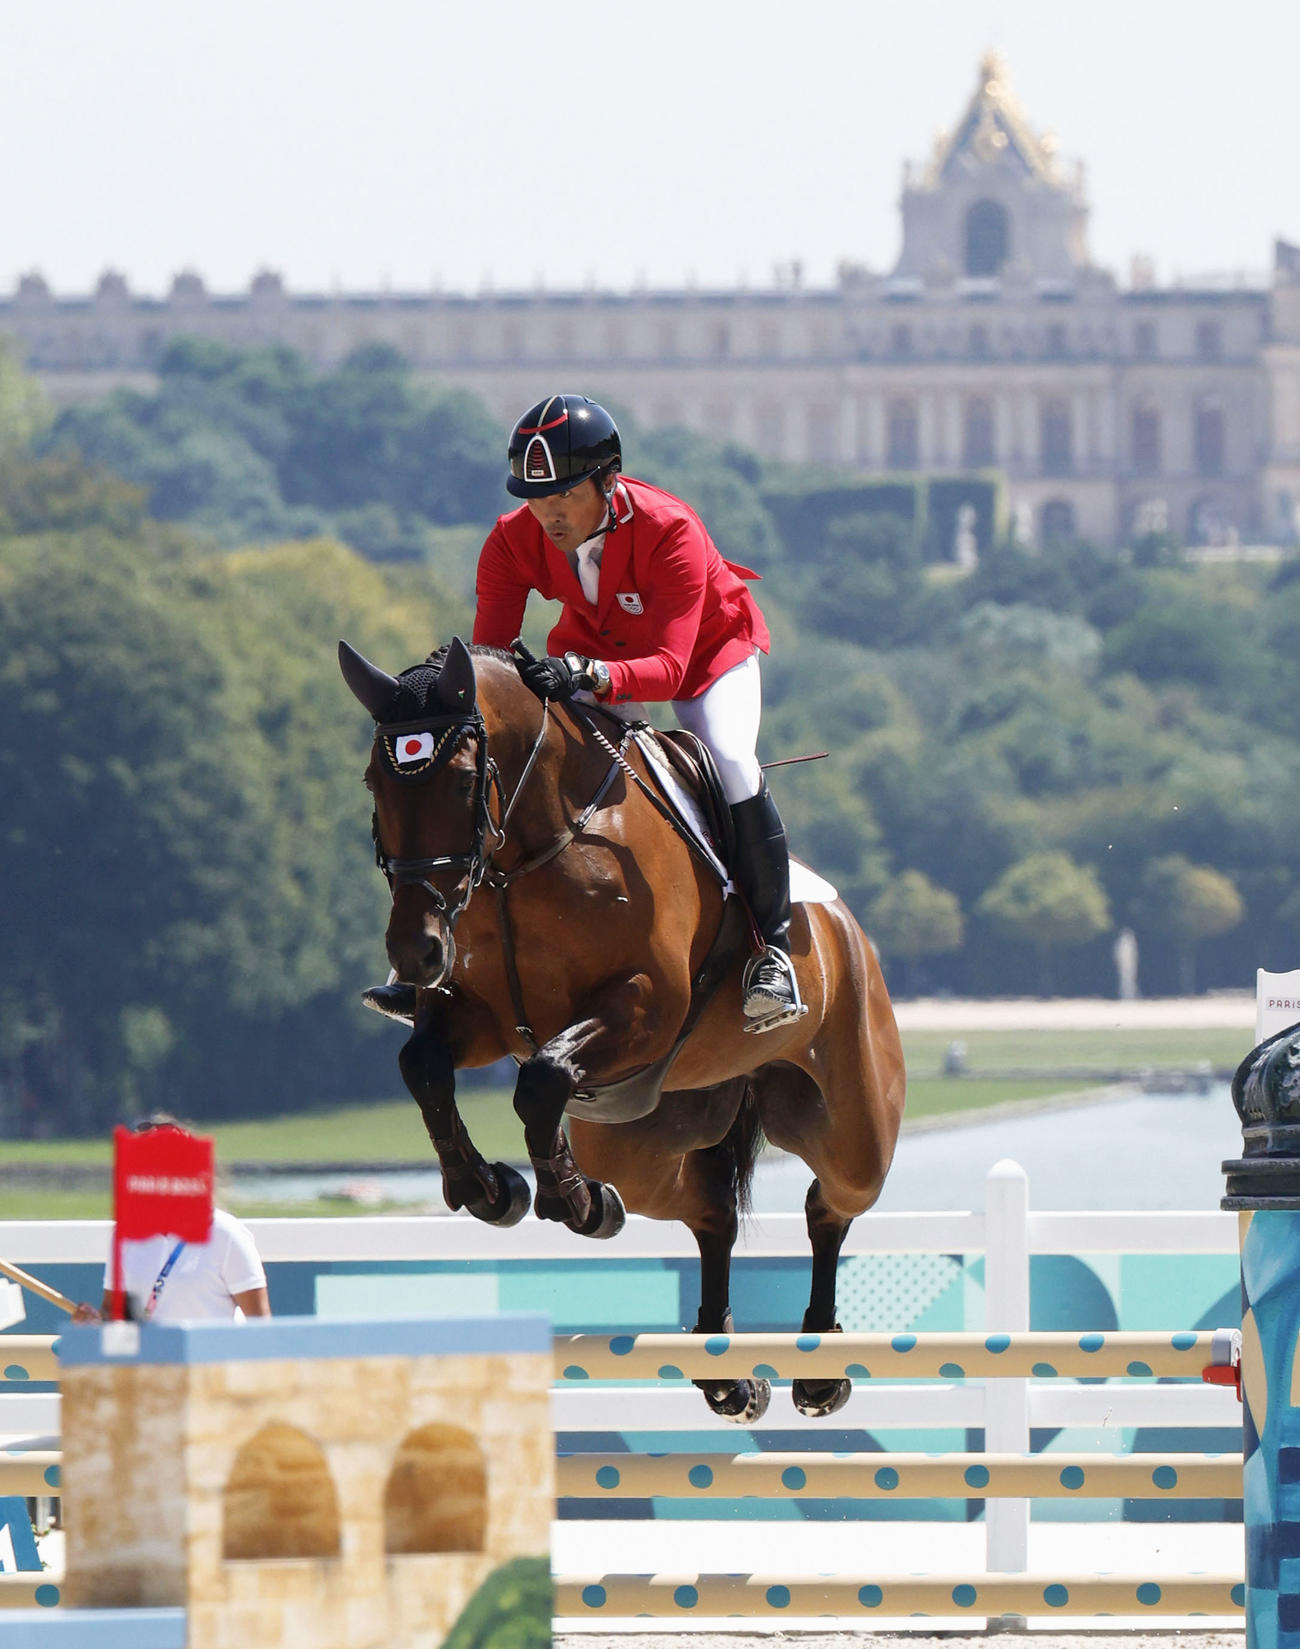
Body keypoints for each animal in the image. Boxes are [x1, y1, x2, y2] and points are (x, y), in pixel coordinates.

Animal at [339, 635, 906, 1420]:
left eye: (461, 783)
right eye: (374, 782)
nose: (415, 952)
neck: (529, 853)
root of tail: (847, 927)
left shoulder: (643, 1007)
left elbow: (543, 1076)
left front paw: (563, 1199)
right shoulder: (480, 1017)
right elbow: (424, 1066)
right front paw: (493, 1191)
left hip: (851, 1118)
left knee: (832, 1200)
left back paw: (820, 1365)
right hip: (643, 1140)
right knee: (708, 1210)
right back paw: (725, 1371)